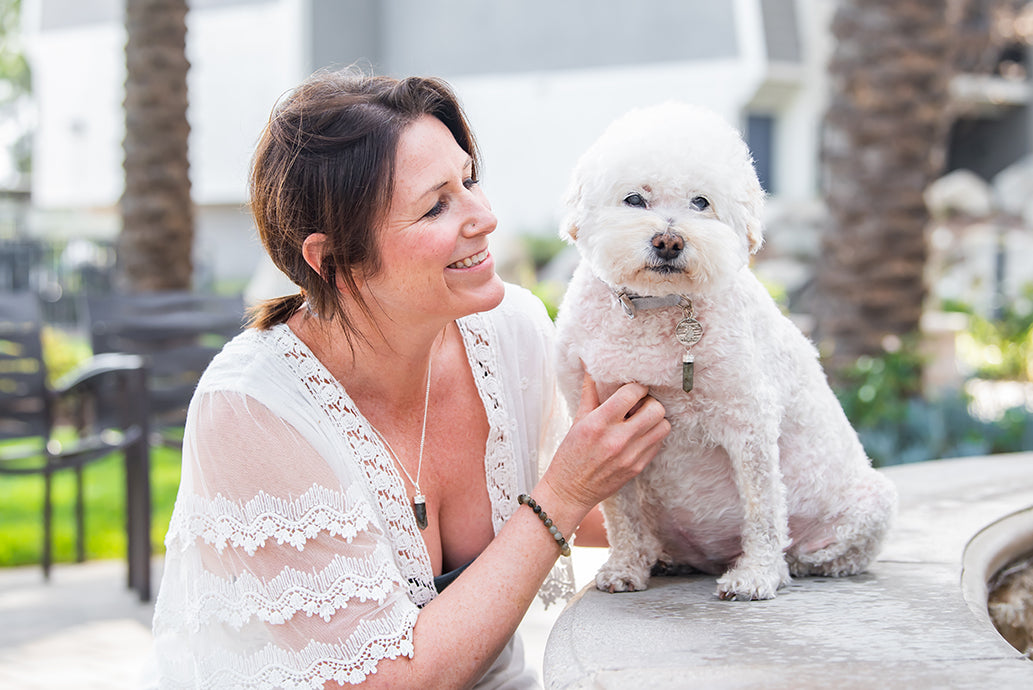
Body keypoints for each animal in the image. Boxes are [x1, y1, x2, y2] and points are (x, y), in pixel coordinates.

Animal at [557, 101, 896, 599]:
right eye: (634, 199)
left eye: (701, 202)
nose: (669, 241)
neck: (655, 305)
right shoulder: (600, 415)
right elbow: (619, 509)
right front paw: (624, 566)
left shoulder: (748, 419)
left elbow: (762, 506)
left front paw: (757, 574)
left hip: (872, 504)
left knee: (827, 553)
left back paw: (790, 564)